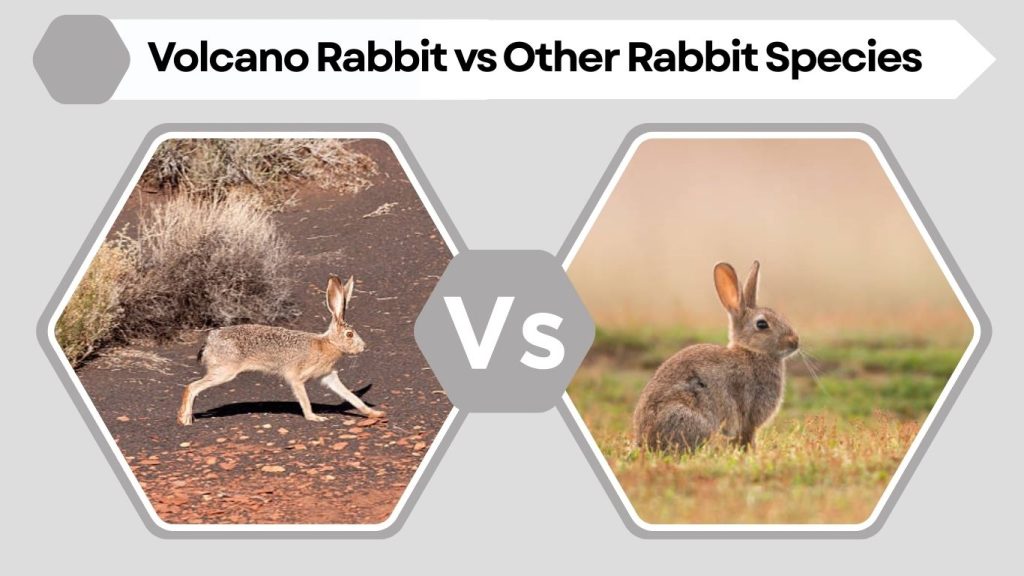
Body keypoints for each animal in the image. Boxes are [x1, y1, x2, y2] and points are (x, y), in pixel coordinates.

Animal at [177, 275, 385, 425]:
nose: (363, 347)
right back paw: (184, 419)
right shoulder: (296, 377)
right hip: (225, 371)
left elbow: (350, 396)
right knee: (191, 387)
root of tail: (209, 342)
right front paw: (314, 417)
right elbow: (304, 399)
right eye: (349, 334)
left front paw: (375, 413)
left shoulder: (329, 376)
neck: (329, 344)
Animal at [632, 261, 799, 452]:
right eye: (762, 324)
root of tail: (645, 440)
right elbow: (747, 436)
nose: (795, 341)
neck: (752, 351)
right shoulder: (750, 416)